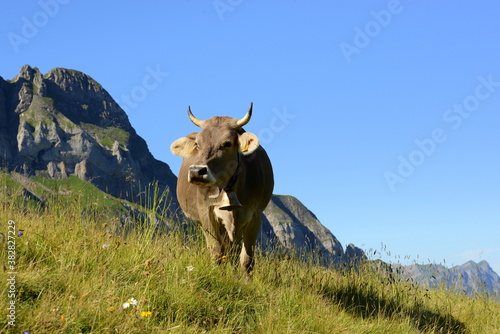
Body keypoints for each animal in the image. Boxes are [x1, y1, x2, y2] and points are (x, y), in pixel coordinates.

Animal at [171, 102, 274, 274]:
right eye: (197, 144)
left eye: (227, 143)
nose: (196, 171)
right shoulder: (206, 212)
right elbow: (216, 253)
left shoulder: (254, 215)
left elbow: (247, 260)